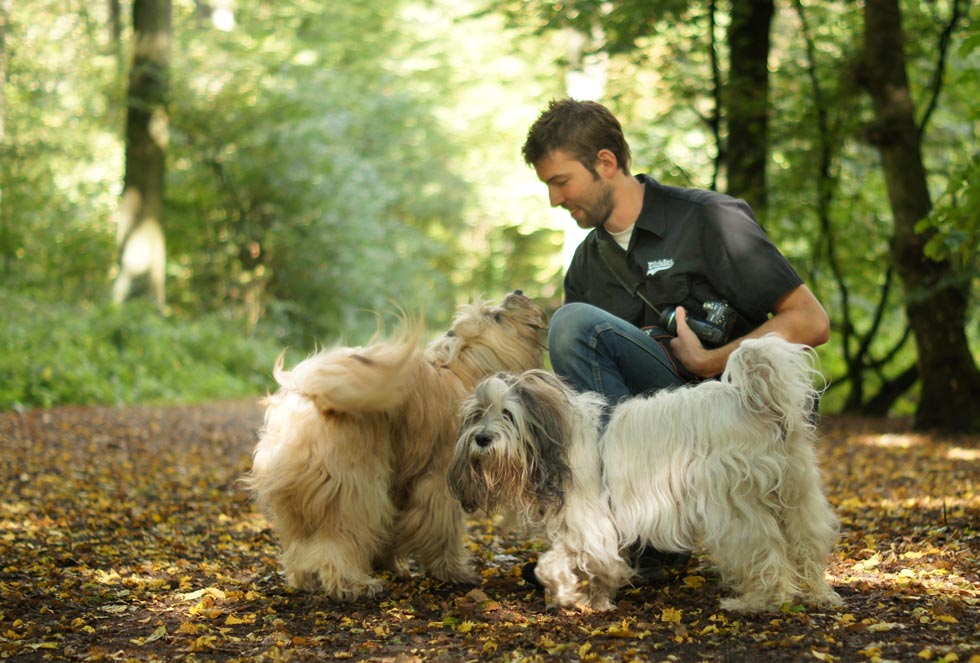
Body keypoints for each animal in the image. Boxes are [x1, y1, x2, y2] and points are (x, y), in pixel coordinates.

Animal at [245, 292, 548, 600]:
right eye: (496, 316)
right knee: (338, 541)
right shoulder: (437, 481)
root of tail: (309, 393)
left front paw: (387, 563)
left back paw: (304, 579)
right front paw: (452, 571)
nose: (518, 293)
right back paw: (354, 584)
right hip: (355, 489)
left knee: (299, 542)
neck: (463, 368)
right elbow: (442, 528)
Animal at [450, 334, 844, 616]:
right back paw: (820, 595)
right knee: (807, 546)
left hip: (735, 505)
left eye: (507, 414)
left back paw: (757, 602)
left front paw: (577, 596)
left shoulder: (591, 521)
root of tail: (757, 403)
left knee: (764, 553)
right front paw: (584, 593)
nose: (482, 438)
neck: (558, 439)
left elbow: (559, 563)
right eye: (477, 414)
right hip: (799, 495)